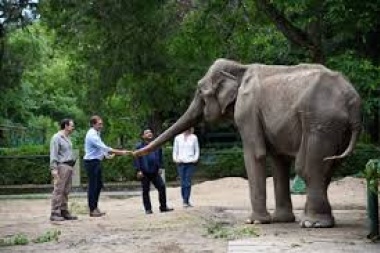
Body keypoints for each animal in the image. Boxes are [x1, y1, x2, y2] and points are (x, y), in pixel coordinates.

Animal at [134, 58, 362, 228]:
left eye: (200, 92)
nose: (132, 154)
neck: (240, 68)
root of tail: (353, 100)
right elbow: (278, 160)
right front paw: (281, 220)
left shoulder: (247, 110)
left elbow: (256, 154)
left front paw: (255, 222)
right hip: (335, 128)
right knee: (327, 167)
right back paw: (317, 221)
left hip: (320, 122)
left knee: (309, 167)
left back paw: (312, 224)